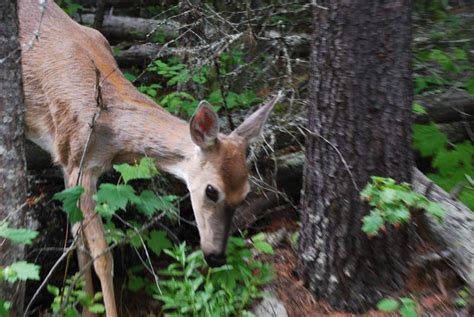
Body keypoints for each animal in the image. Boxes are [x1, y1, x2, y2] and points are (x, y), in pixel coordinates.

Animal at [19, 0, 282, 316]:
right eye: (211, 190)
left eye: (245, 193)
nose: (216, 257)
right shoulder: (77, 163)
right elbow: (102, 255)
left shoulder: (67, 163)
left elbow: (77, 238)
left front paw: (85, 306)